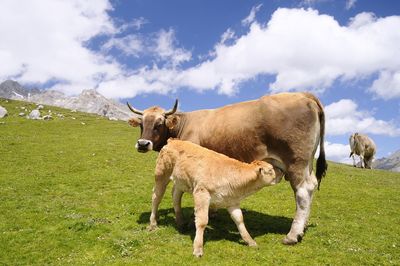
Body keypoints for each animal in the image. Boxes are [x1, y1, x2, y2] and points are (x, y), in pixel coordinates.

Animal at [128, 92, 328, 245]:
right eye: (141, 123)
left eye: (159, 124)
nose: (143, 144)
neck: (185, 125)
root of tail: (304, 94)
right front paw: (213, 212)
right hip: (307, 163)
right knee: (311, 187)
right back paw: (303, 227)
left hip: (296, 162)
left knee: (303, 191)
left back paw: (292, 235)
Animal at [147, 139, 282, 258]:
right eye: (271, 170)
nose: (281, 171)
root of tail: (173, 140)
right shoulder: (201, 194)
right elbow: (202, 221)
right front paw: (198, 249)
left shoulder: (232, 201)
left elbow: (239, 220)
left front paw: (250, 241)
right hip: (161, 174)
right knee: (156, 197)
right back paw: (153, 224)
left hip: (181, 181)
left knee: (175, 196)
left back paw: (180, 222)